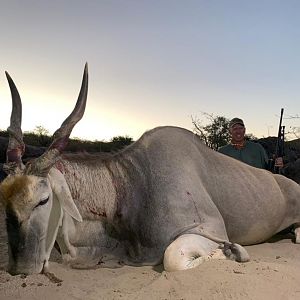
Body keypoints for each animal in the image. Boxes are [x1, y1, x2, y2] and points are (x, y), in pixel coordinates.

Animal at [0, 64, 300, 276]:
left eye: (43, 200)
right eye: (5, 203)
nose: (19, 269)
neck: (129, 185)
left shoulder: (208, 230)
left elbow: (173, 258)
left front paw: (234, 252)